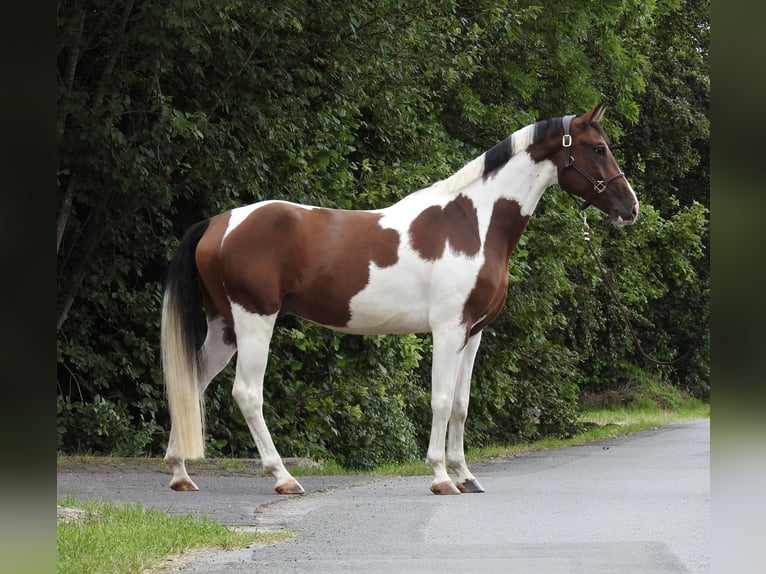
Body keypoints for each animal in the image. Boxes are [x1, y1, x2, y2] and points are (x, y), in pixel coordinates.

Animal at [161, 104, 638, 496]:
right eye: (598, 149)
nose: (630, 208)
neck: (473, 222)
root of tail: (218, 223)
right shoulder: (447, 330)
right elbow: (441, 400)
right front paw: (441, 477)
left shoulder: (474, 334)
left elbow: (461, 404)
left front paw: (466, 474)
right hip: (254, 321)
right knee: (247, 393)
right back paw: (283, 476)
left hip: (224, 327)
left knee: (191, 383)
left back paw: (180, 472)